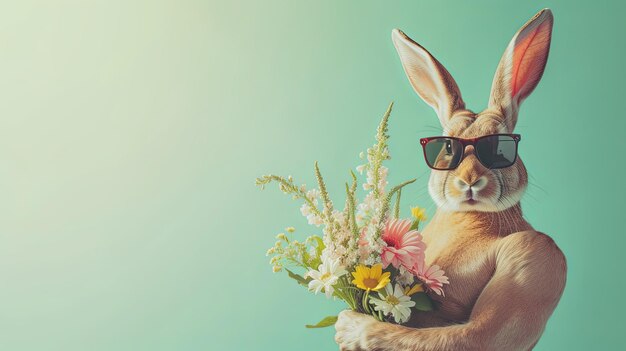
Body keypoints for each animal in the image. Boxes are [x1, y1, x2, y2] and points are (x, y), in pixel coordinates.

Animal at [336, 8, 564, 351]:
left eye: (500, 148)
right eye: (446, 147)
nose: (469, 180)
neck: (470, 216)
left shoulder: (536, 253)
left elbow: (473, 335)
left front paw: (350, 327)